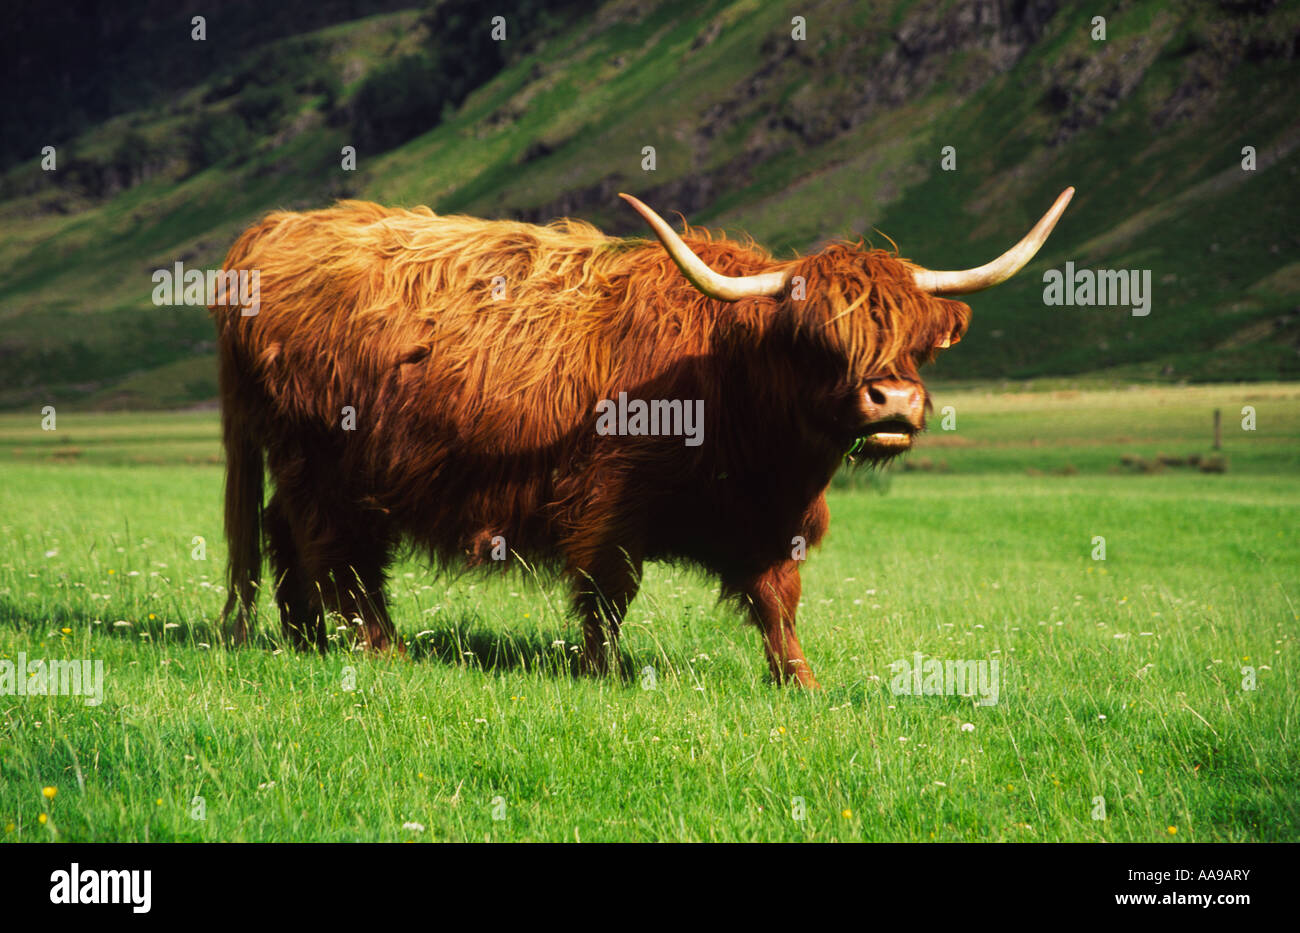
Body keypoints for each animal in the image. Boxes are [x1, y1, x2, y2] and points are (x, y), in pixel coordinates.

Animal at [211, 188, 1073, 686]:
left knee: (288, 536)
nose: (891, 399)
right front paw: (606, 673)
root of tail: (275, 229)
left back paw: (306, 643)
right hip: (321, 459)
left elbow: (778, 601)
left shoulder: (770, 521)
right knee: (334, 551)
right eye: (819, 339)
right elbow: (607, 592)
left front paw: (798, 679)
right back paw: (379, 650)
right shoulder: (609, 503)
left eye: (916, 341)